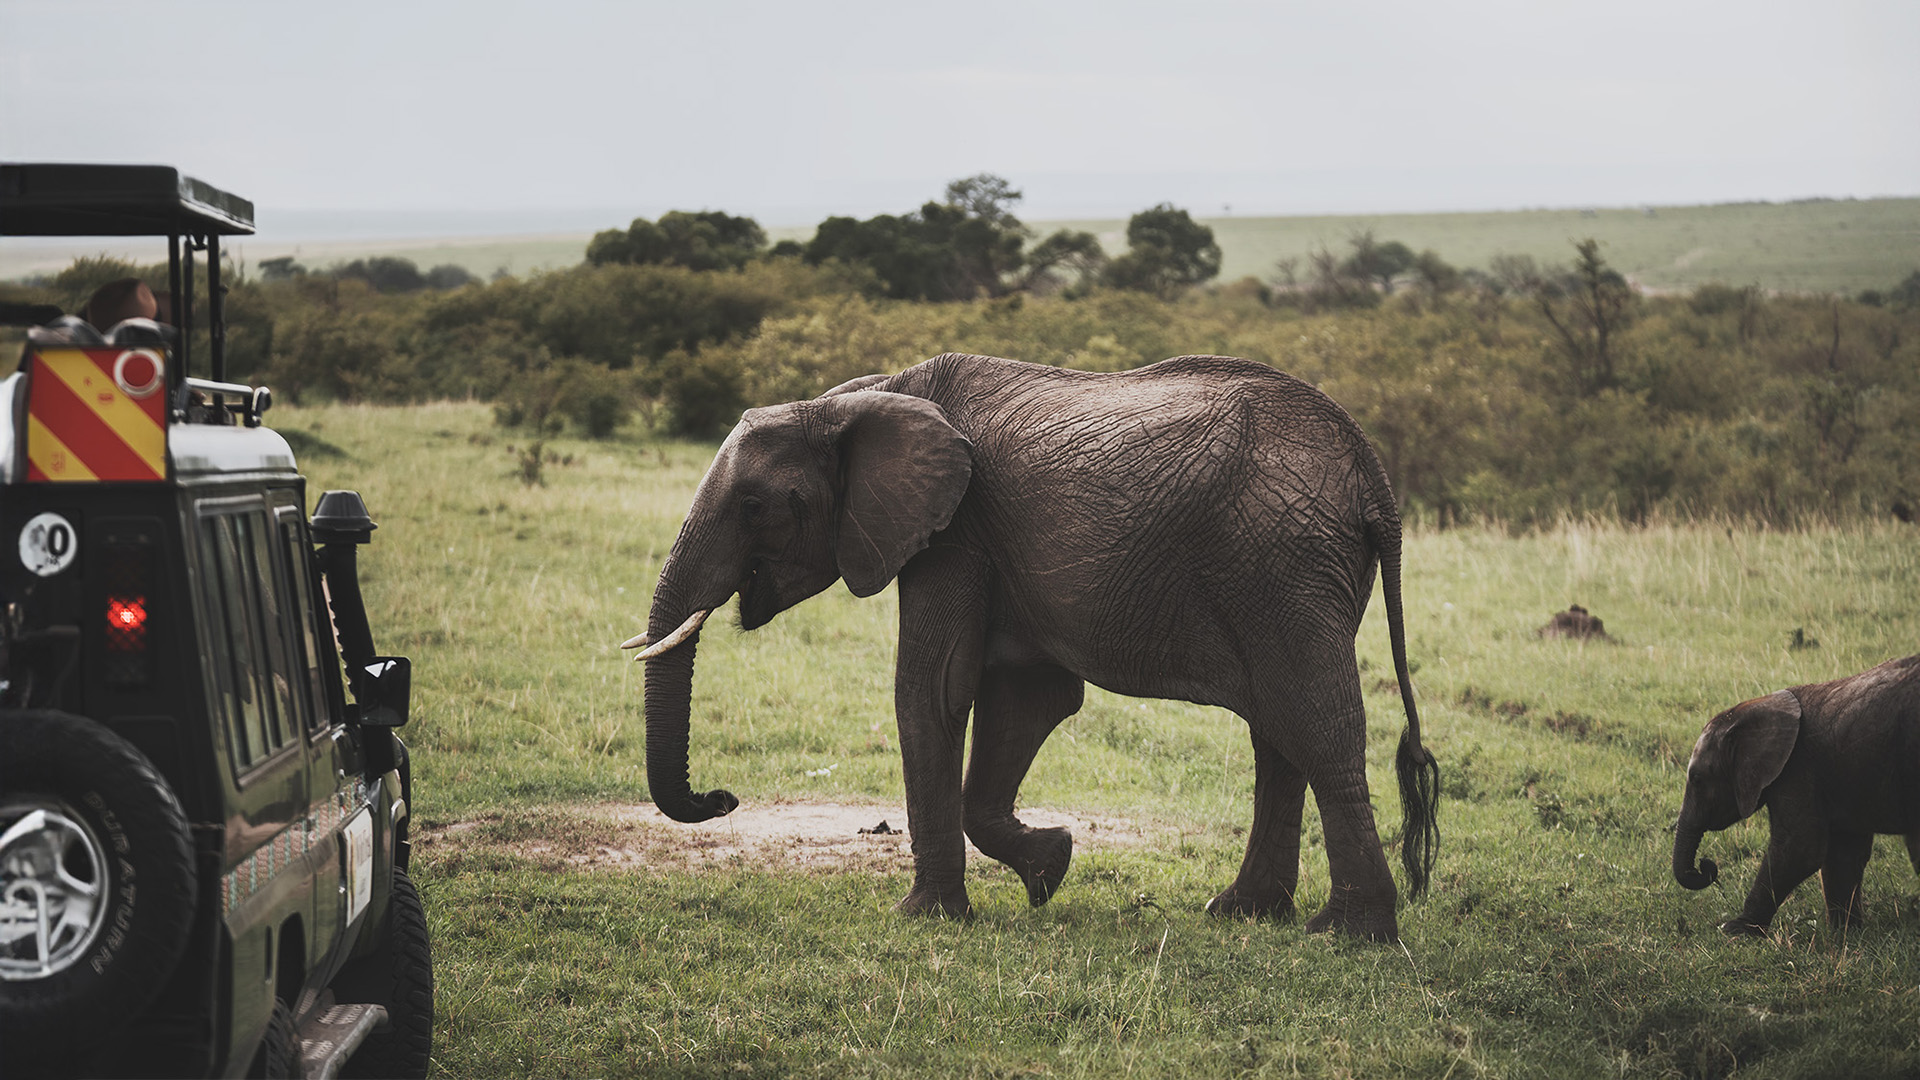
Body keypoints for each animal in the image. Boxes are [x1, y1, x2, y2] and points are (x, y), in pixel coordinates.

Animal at [626, 352, 1440, 941]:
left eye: (754, 506)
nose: (723, 797)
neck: (858, 398)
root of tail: (1373, 477)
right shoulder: (988, 544)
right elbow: (1024, 699)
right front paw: (1051, 869)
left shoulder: (954, 532)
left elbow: (934, 688)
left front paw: (924, 919)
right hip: (1288, 572)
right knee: (1278, 733)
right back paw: (1240, 912)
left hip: (1283, 564)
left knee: (1316, 726)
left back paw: (1348, 933)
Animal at [1673, 653, 1920, 935]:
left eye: (1697, 779)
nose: (1705, 865)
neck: (1757, 707)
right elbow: (1842, 851)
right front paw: (1846, 934)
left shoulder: (1797, 769)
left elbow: (1799, 848)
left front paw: (1734, 929)